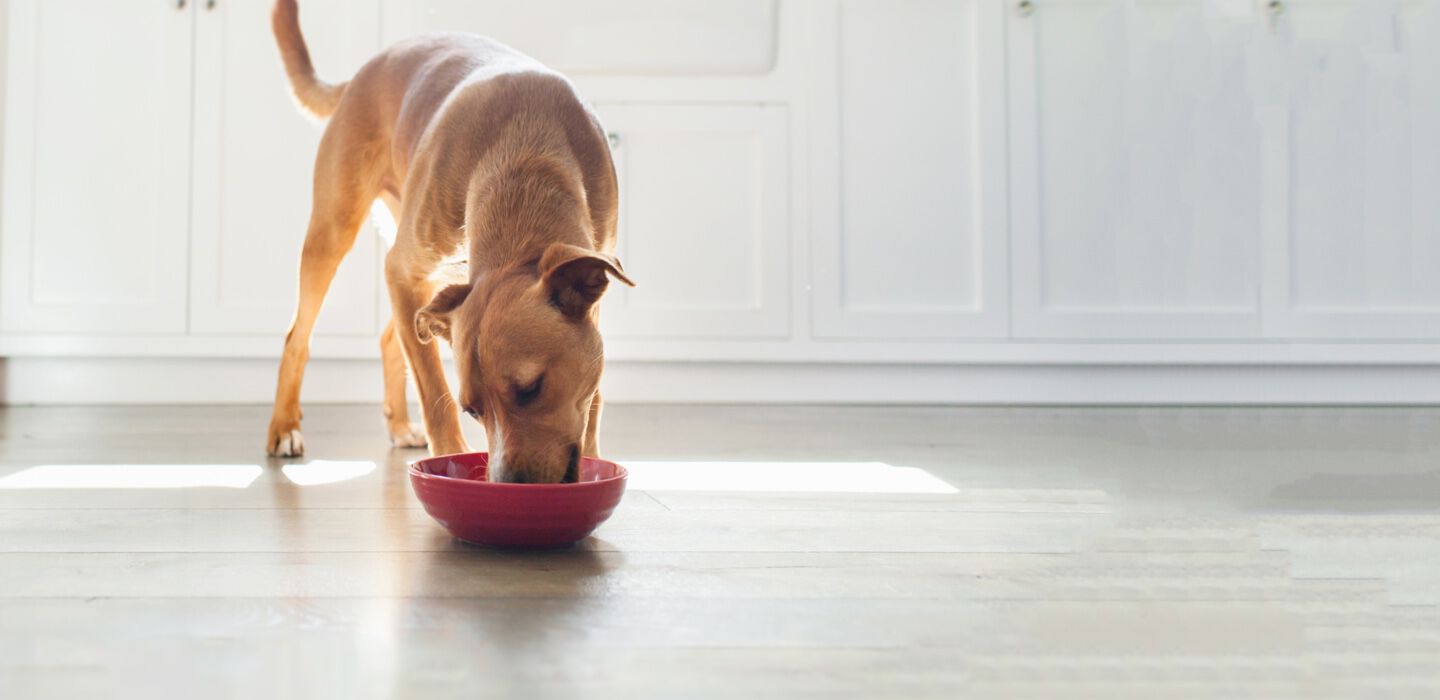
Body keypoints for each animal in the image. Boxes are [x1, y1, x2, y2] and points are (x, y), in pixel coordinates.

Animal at [266, 0, 636, 483]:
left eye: (531, 389)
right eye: (473, 410)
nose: (507, 486)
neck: (526, 160)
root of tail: (362, 74)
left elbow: (593, 397)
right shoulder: (403, 273)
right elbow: (432, 390)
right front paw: (448, 458)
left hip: (429, 284)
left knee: (390, 339)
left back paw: (399, 426)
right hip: (335, 231)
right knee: (299, 336)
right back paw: (284, 428)